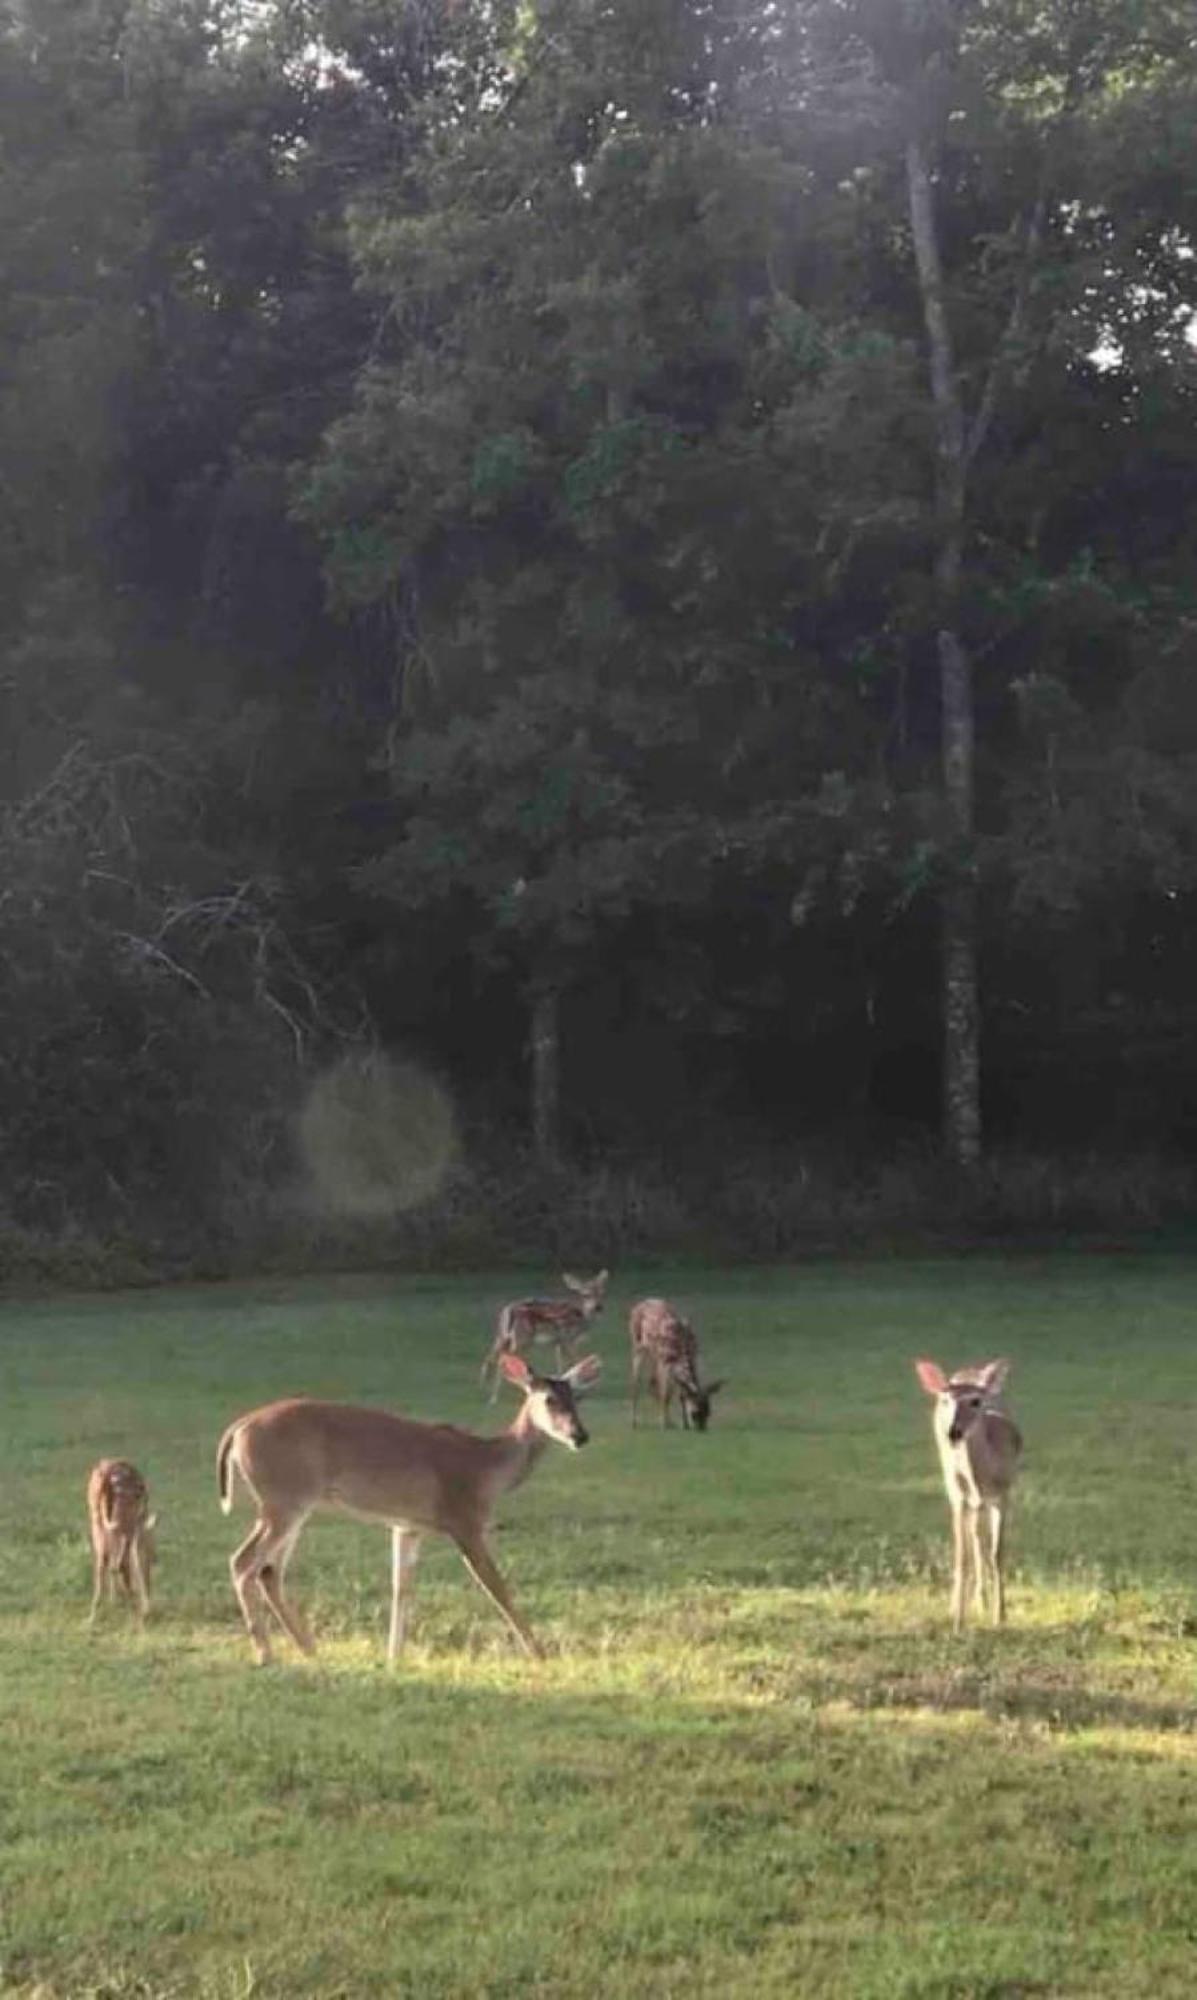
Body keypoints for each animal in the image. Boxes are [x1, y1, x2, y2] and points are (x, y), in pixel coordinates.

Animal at [86, 1456, 156, 1624]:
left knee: (104, 1562)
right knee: (119, 1563)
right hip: (122, 1517)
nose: (156, 1558)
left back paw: (93, 1615)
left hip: (97, 1516)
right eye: (151, 1548)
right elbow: (130, 1562)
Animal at [216, 1352, 600, 1664]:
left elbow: (402, 1589)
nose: (580, 1436)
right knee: (243, 1561)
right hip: (285, 1498)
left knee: (268, 1571)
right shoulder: (464, 1520)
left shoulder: (407, 1526)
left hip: (291, 1504)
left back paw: (309, 1649)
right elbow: (497, 1587)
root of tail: (238, 1428)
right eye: (549, 1399)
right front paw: (539, 1653)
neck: (485, 1469)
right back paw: (265, 1654)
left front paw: (393, 1656)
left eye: (578, 1397)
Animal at [480, 1264, 608, 1408]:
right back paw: (494, 1398)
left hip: (502, 1336)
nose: (598, 1307)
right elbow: (576, 1361)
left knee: (491, 1357)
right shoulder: (567, 1338)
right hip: (522, 1338)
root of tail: (509, 1311)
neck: (582, 1318)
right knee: (502, 1359)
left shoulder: (558, 1342)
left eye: (602, 1293)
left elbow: (560, 1364)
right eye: (586, 1295)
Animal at [632, 1296, 728, 1440]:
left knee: (652, 1382)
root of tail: (642, 1303)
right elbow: (665, 1395)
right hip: (638, 1346)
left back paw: (669, 1421)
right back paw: (635, 1422)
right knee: (636, 1382)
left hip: (654, 1357)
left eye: (708, 1412)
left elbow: (681, 1394)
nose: (702, 1430)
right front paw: (663, 1425)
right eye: (694, 1414)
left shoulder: (693, 1357)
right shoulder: (664, 1363)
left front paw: (684, 1425)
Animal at [920, 1352, 1020, 1632]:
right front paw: (958, 1620)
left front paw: (1001, 1616)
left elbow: (996, 1553)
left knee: (979, 1539)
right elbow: (962, 1556)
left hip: (982, 1503)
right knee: (971, 1541)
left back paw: (982, 1602)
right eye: (946, 1400)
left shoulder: (1003, 1493)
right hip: (956, 1491)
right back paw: (970, 1603)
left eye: (976, 1401)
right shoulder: (959, 1496)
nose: (953, 1432)